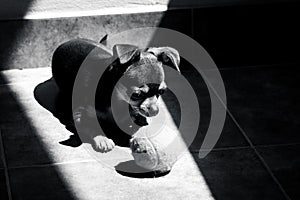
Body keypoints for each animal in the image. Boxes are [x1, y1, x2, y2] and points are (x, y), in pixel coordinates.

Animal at [51, 36, 180, 152]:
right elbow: (92, 125)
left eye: (161, 92)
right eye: (136, 95)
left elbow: (138, 123)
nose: (155, 111)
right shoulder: (77, 116)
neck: (118, 100)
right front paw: (102, 139)